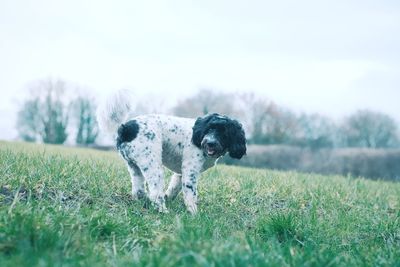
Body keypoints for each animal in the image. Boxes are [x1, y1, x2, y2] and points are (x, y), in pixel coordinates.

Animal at [97, 91, 247, 215]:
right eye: (209, 128)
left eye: (224, 133)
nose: (210, 142)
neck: (198, 135)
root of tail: (126, 127)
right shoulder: (190, 172)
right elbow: (190, 194)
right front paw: (193, 213)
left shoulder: (180, 173)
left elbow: (174, 188)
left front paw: (169, 198)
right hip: (153, 167)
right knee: (155, 194)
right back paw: (163, 211)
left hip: (134, 167)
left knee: (138, 190)